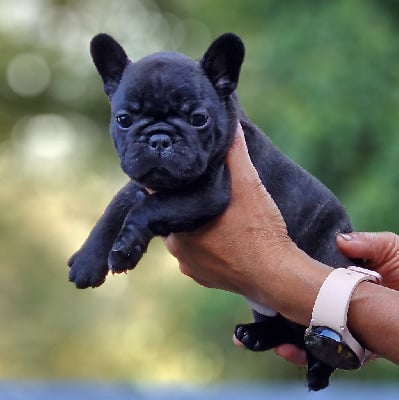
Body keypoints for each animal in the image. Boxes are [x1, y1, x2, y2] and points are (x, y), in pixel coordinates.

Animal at [68, 32, 356, 390]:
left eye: (198, 119)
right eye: (123, 120)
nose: (158, 139)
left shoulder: (208, 192)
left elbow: (148, 208)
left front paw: (126, 249)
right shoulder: (138, 183)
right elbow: (115, 208)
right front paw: (88, 260)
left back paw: (318, 370)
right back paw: (257, 335)